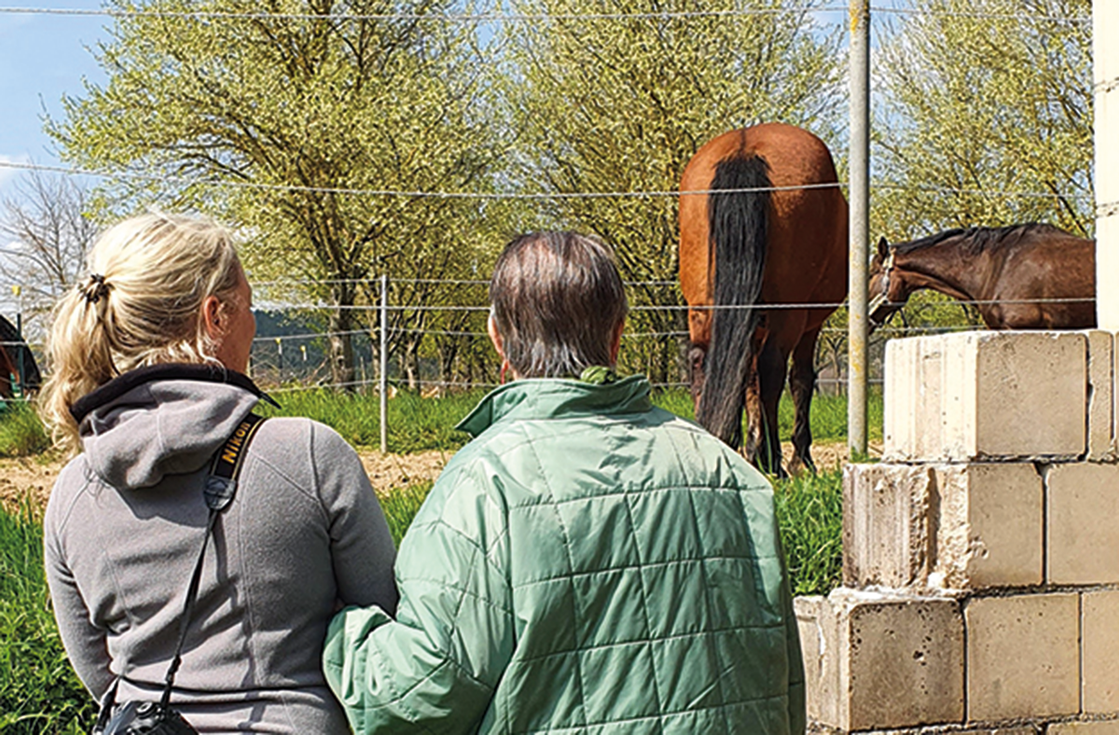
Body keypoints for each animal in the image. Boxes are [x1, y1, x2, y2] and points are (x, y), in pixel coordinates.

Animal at [679, 123, 848, 477]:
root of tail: (745, 148)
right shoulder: (809, 324)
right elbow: (799, 380)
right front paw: (798, 457)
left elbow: (746, 378)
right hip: (790, 313)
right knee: (773, 368)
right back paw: (774, 460)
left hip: (701, 306)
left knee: (703, 360)